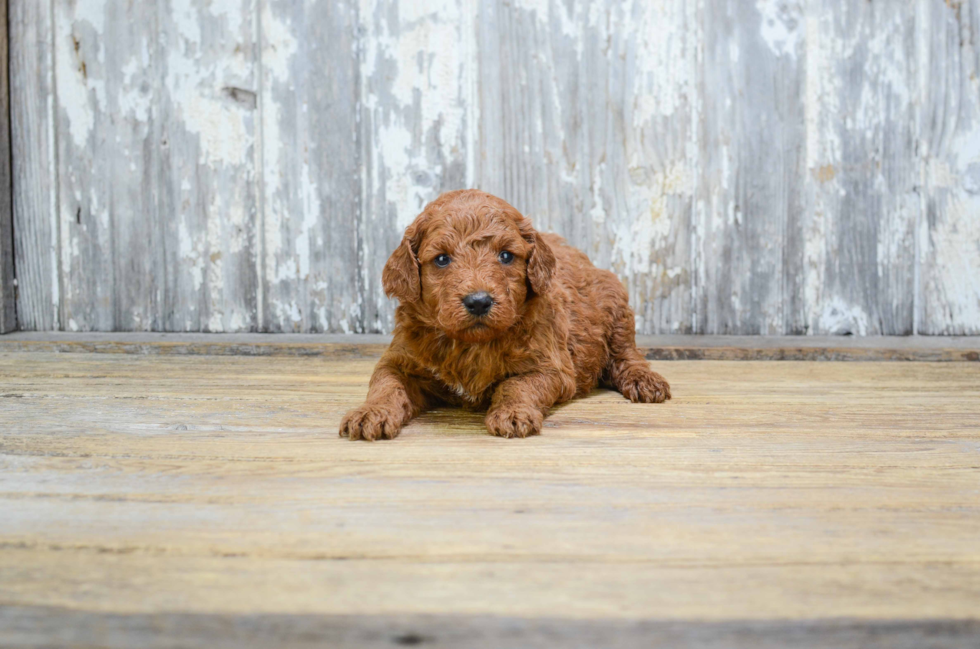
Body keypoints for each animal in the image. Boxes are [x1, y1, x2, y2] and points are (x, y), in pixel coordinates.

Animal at [340, 189, 668, 440]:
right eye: (442, 259)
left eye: (506, 256)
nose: (478, 302)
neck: (470, 345)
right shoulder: (399, 360)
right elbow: (385, 385)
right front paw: (371, 413)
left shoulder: (550, 367)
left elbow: (517, 384)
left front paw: (513, 413)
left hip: (616, 305)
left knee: (626, 354)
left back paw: (644, 381)